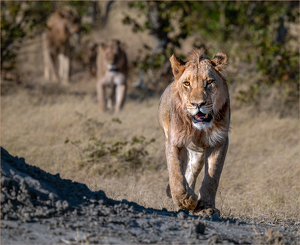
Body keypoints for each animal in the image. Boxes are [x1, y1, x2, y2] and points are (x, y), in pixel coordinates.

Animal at [158, 48, 231, 214]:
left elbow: (212, 177)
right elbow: (176, 174)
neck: (198, 129)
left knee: (191, 173)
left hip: (197, 154)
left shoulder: (220, 141)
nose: (198, 104)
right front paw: (186, 201)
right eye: (187, 83)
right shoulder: (174, 141)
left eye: (209, 82)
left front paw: (206, 207)